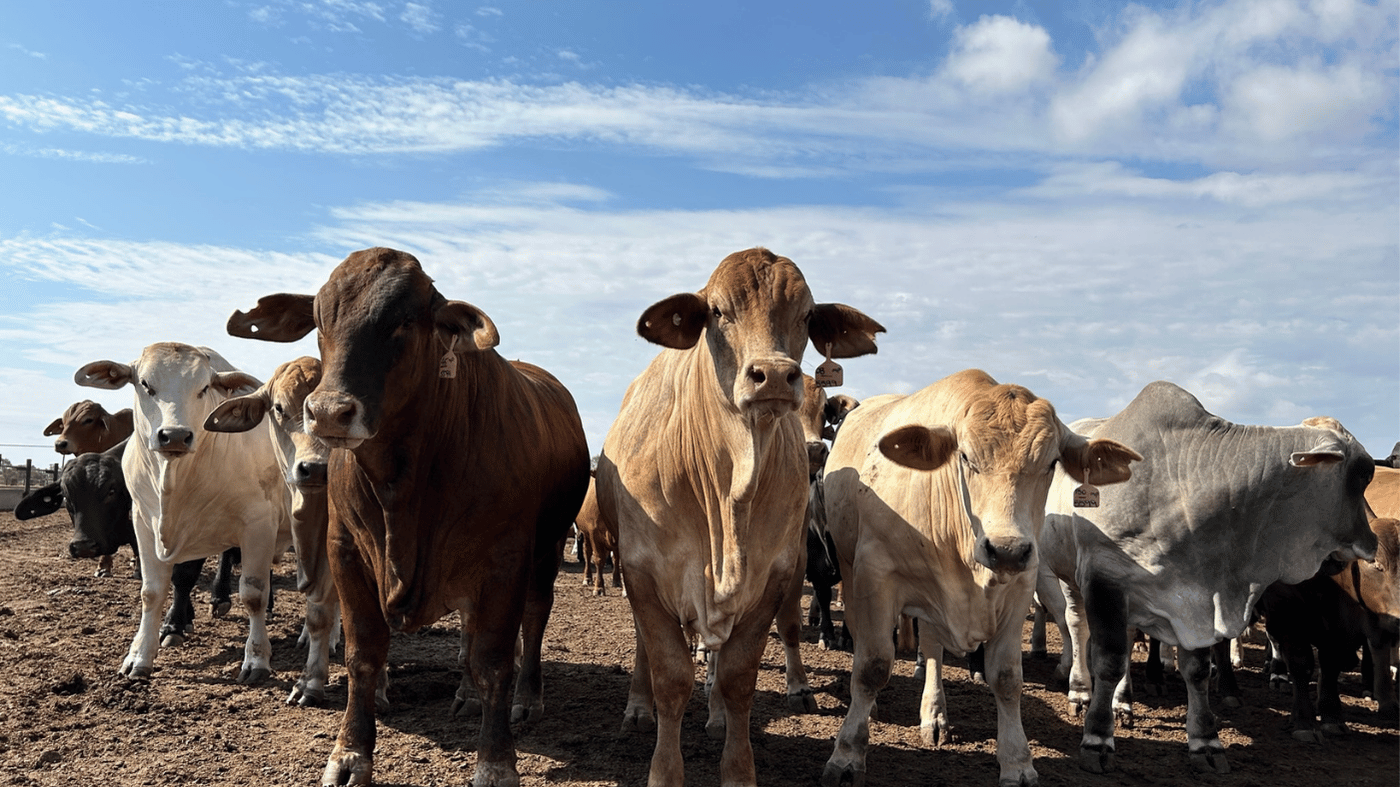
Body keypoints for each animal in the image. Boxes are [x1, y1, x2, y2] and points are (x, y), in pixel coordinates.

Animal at [75, 342, 295, 685]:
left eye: (203, 388)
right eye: (145, 384)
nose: (175, 435)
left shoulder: (258, 524)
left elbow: (253, 593)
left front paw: (257, 659)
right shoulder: (144, 524)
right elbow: (152, 591)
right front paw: (141, 654)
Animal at [224, 246, 590, 787]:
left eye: (403, 321)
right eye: (319, 319)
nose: (329, 412)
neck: (402, 482)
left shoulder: (505, 560)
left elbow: (495, 659)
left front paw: (496, 763)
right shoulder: (347, 551)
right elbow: (363, 654)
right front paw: (349, 754)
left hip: (546, 550)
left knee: (533, 617)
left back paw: (526, 698)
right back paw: (465, 695)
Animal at [594, 247, 884, 787]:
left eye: (807, 316)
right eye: (717, 311)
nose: (773, 374)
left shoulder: (775, 575)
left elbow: (738, 677)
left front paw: (737, 765)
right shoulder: (642, 573)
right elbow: (671, 678)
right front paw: (665, 769)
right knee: (648, 651)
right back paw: (639, 708)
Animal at [818, 368, 1140, 787]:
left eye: (1052, 462)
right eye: (966, 457)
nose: (1006, 549)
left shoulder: (1020, 585)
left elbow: (1006, 676)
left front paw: (1018, 763)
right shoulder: (875, 574)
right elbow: (872, 666)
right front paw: (846, 755)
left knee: (933, 649)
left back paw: (934, 715)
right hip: (849, 564)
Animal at [1039, 384, 1377, 776]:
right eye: (1364, 473)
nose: (1374, 541)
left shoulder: (1194, 598)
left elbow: (1197, 671)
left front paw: (1205, 741)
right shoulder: (1103, 576)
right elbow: (1108, 661)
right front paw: (1097, 739)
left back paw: (1124, 702)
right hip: (1070, 579)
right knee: (1078, 628)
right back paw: (1080, 690)